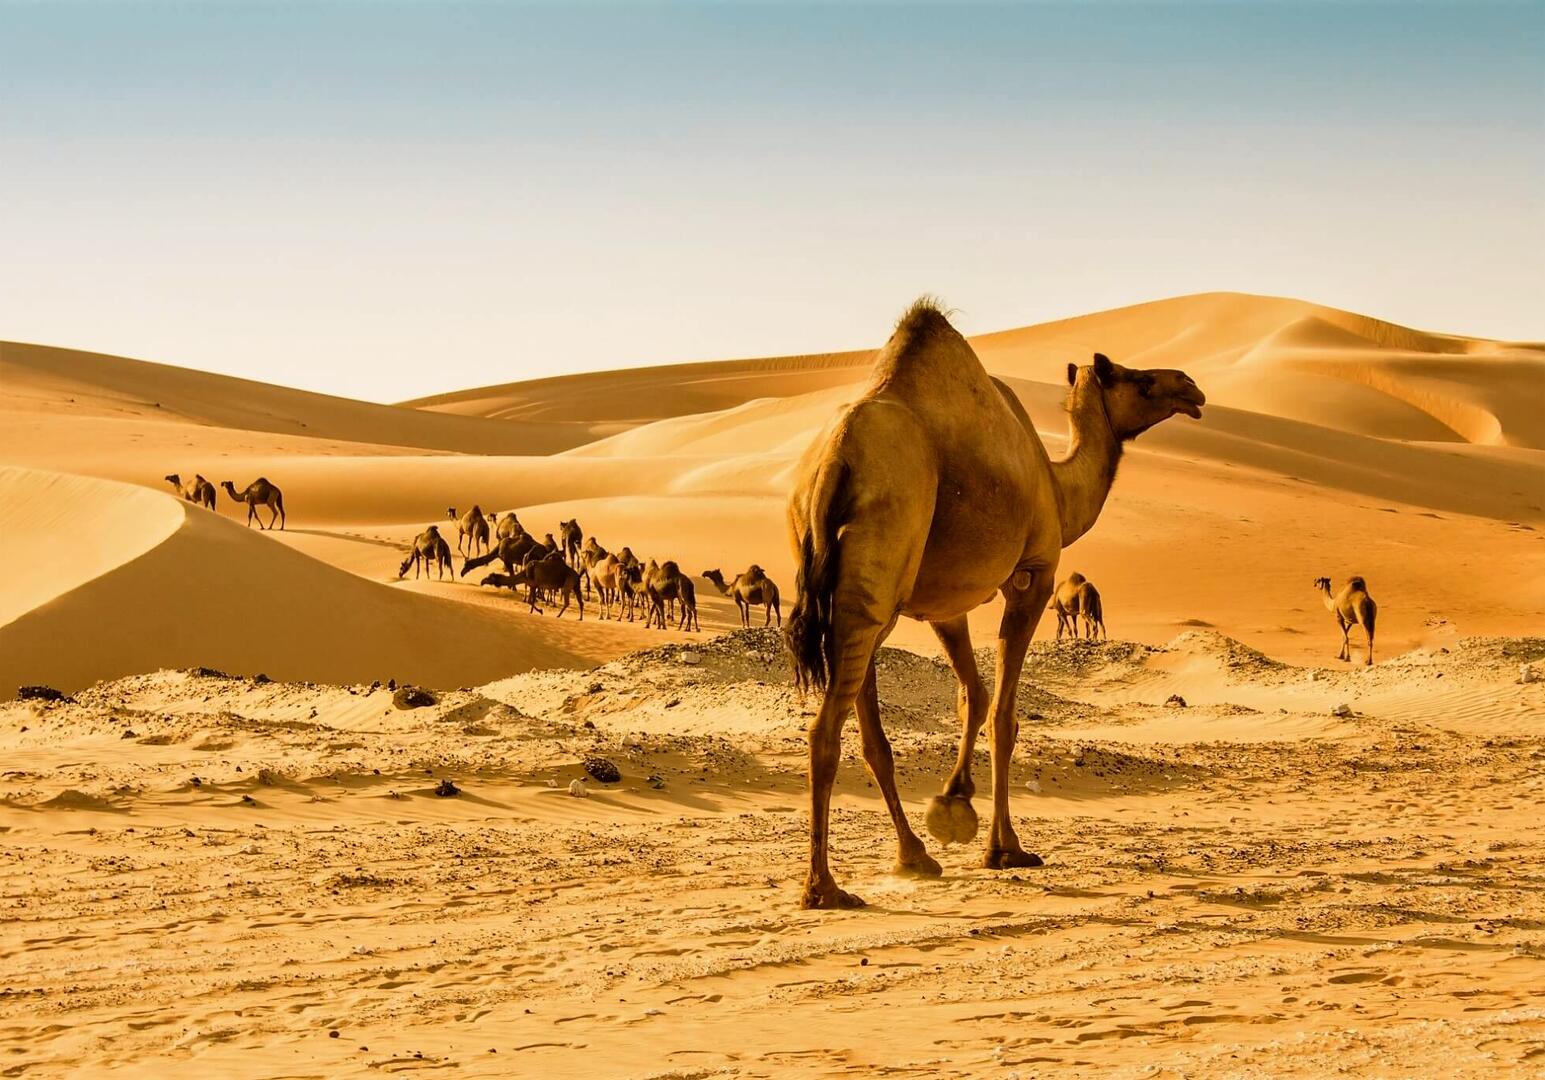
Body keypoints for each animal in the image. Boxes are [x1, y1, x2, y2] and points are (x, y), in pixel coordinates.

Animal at [784, 299, 1204, 908]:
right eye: (1138, 379)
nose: (1191, 386)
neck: (1057, 486)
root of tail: (833, 463)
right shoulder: (1034, 574)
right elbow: (1004, 715)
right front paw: (1004, 847)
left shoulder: (943, 605)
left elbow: (973, 698)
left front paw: (953, 805)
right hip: (879, 570)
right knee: (825, 731)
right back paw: (824, 888)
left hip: (857, 593)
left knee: (867, 733)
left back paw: (913, 857)